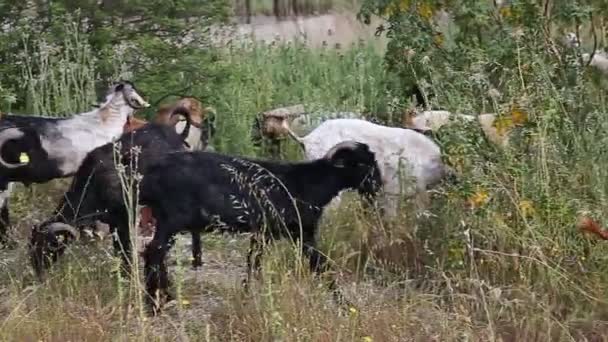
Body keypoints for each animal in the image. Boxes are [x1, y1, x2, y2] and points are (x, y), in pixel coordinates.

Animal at [29, 108, 202, 280]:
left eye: (49, 245)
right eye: (33, 243)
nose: (37, 271)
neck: (94, 182)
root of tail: (178, 136)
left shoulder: (125, 218)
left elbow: (125, 247)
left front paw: (128, 274)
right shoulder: (112, 221)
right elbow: (118, 248)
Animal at [140, 140, 382, 314]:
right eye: (364, 164)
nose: (377, 186)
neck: (310, 183)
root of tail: (148, 176)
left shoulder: (274, 233)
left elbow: (254, 263)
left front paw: (248, 296)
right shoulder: (295, 232)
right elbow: (321, 266)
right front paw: (346, 305)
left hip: (167, 221)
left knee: (154, 253)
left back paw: (164, 297)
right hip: (172, 219)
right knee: (153, 252)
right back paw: (155, 303)